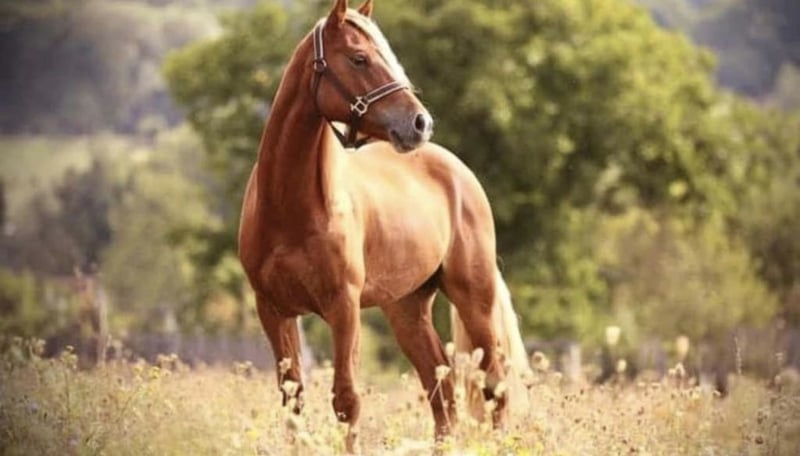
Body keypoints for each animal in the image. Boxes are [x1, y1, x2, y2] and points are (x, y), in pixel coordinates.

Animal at [238, 0, 530, 450]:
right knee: (441, 389)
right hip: (407, 309)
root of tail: (457, 171)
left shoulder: (343, 307)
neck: (291, 208)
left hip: (473, 298)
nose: (420, 124)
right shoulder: (273, 309)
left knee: (493, 384)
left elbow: (346, 399)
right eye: (359, 58)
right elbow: (293, 402)